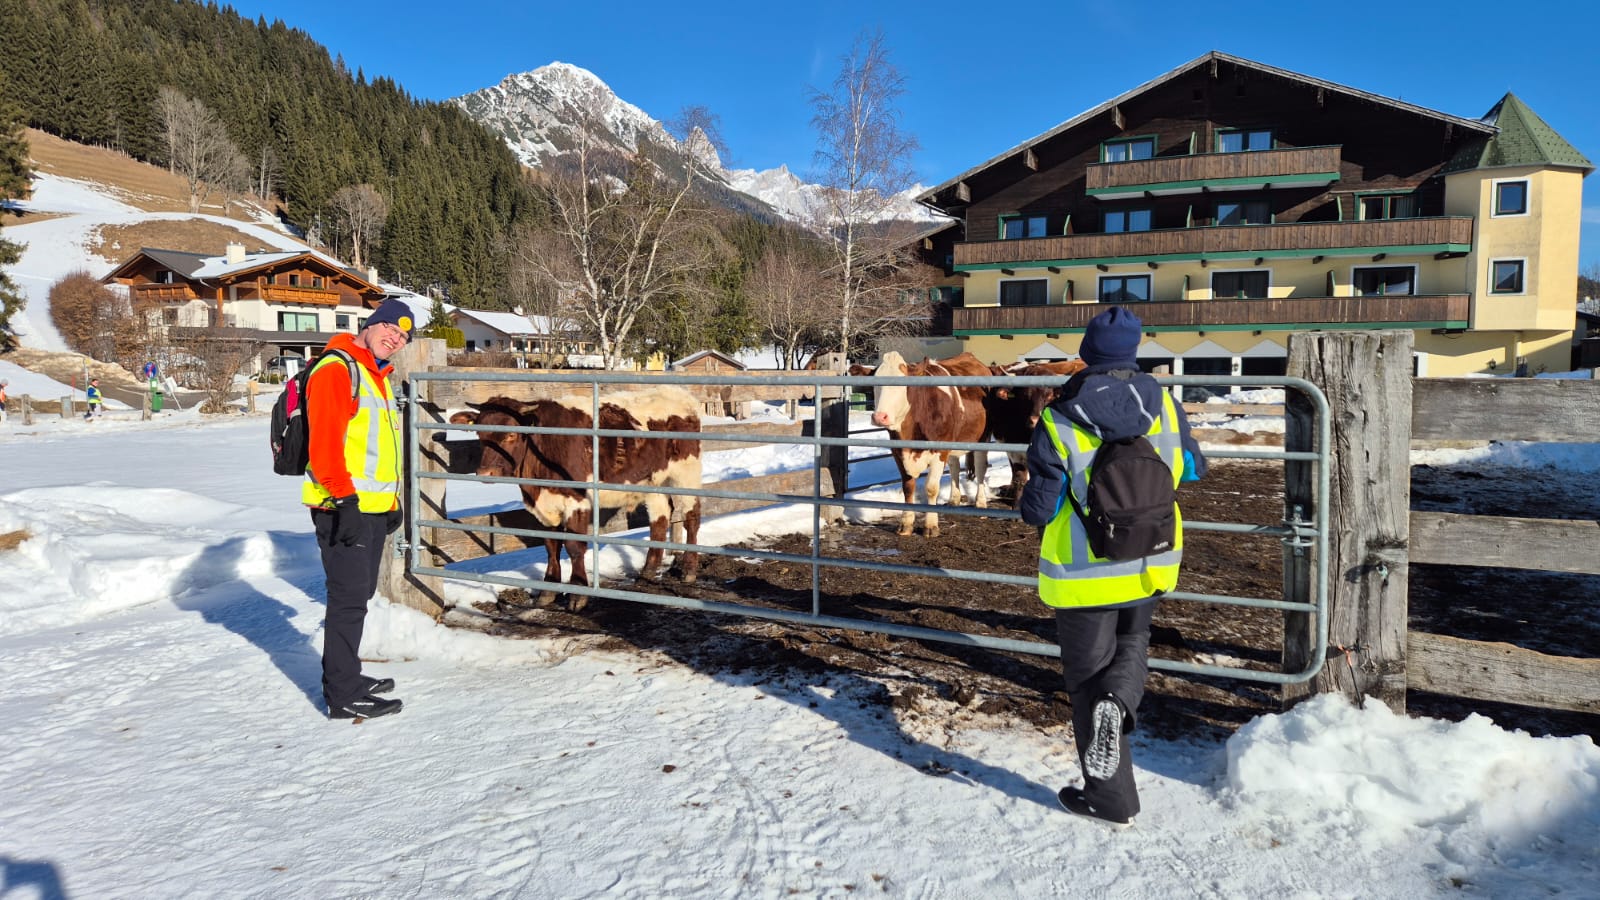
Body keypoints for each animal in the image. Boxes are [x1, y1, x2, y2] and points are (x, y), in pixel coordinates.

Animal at [449, 386, 703, 609]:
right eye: (480, 434)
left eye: (512, 434)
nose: (485, 473)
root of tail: (680, 394)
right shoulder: (546, 505)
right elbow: (551, 546)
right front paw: (548, 590)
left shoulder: (576, 501)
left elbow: (574, 547)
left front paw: (578, 594)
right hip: (653, 481)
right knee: (660, 518)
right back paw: (648, 571)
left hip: (686, 474)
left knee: (691, 516)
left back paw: (689, 569)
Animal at [869, 350, 992, 537]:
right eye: (874, 383)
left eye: (901, 384)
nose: (879, 417)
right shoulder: (898, 451)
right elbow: (908, 487)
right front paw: (906, 524)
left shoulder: (938, 451)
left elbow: (931, 488)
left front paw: (931, 525)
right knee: (955, 466)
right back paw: (954, 499)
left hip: (982, 439)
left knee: (980, 467)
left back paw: (980, 502)